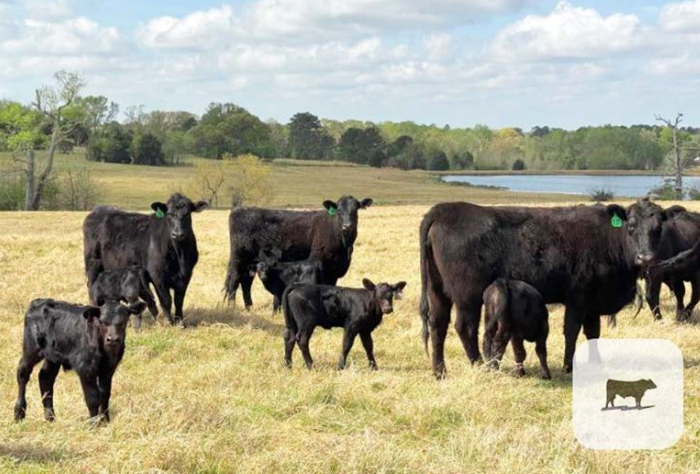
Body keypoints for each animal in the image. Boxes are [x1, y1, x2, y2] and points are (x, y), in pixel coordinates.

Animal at [14, 298, 146, 423]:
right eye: (103, 322)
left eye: (123, 322)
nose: (113, 339)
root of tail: (39, 301)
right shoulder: (85, 369)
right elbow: (92, 398)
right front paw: (93, 424)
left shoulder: (108, 369)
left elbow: (105, 394)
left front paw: (105, 420)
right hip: (31, 349)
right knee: (23, 372)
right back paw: (19, 412)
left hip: (53, 356)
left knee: (45, 378)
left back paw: (50, 417)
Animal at [83, 193, 208, 326]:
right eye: (169, 214)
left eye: (187, 214)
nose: (178, 234)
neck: (179, 256)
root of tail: (97, 211)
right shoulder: (157, 276)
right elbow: (166, 300)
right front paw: (169, 323)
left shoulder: (186, 275)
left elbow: (179, 300)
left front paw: (180, 322)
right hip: (93, 263)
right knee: (92, 288)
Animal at [224, 196, 372, 309]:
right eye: (339, 211)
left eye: (356, 209)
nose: (347, 226)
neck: (344, 247)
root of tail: (239, 210)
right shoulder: (322, 265)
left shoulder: (334, 272)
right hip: (239, 260)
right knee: (234, 282)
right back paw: (232, 307)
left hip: (251, 263)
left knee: (246, 282)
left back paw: (249, 307)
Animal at [419, 198, 668, 379]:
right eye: (631, 227)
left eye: (658, 229)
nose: (645, 258)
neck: (607, 239)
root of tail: (443, 209)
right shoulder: (577, 296)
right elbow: (572, 331)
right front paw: (568, 367)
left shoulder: (592, 301)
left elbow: (592, 333)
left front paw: (595, 362)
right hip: (467, 295)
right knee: (465, 328)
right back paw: (479, 364)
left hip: (437, 290)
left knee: (437, 325)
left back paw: (440, 371)